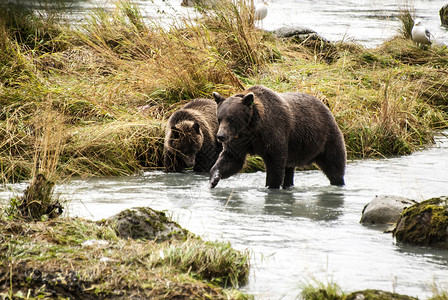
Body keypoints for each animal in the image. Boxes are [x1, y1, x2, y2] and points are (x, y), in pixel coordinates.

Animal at [210, 85, 346, 188]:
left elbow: (275, 163)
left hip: (325, 138)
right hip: (294, 150)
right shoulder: (240, 140)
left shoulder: (273, 132)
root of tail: (324, 105)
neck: (252, 128)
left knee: (334, 164)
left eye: (232, 119)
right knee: (289, 170)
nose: (221, 136)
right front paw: (214, 178)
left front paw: (271, 185)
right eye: (219, 118)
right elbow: (231, 158)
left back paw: (338, 182)